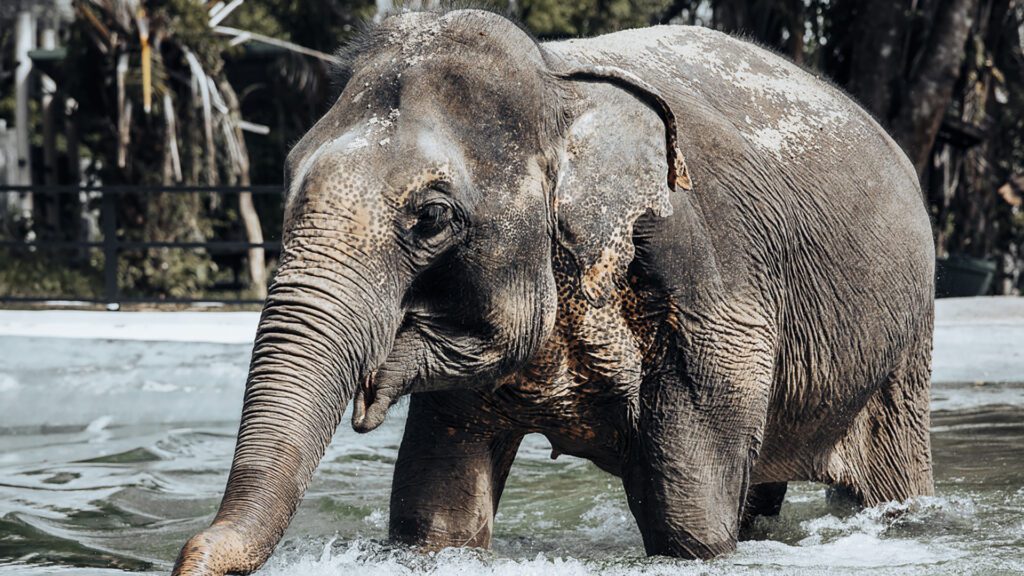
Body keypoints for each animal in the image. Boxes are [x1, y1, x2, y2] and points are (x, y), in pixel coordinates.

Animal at [172, 6, 933, 569]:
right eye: (287, 178)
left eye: (432, 218)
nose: (189, 552)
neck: (559, 91)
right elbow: (437, 515)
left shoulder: (712, 289)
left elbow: (690, 523)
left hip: (904, 349)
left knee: (886, 481)